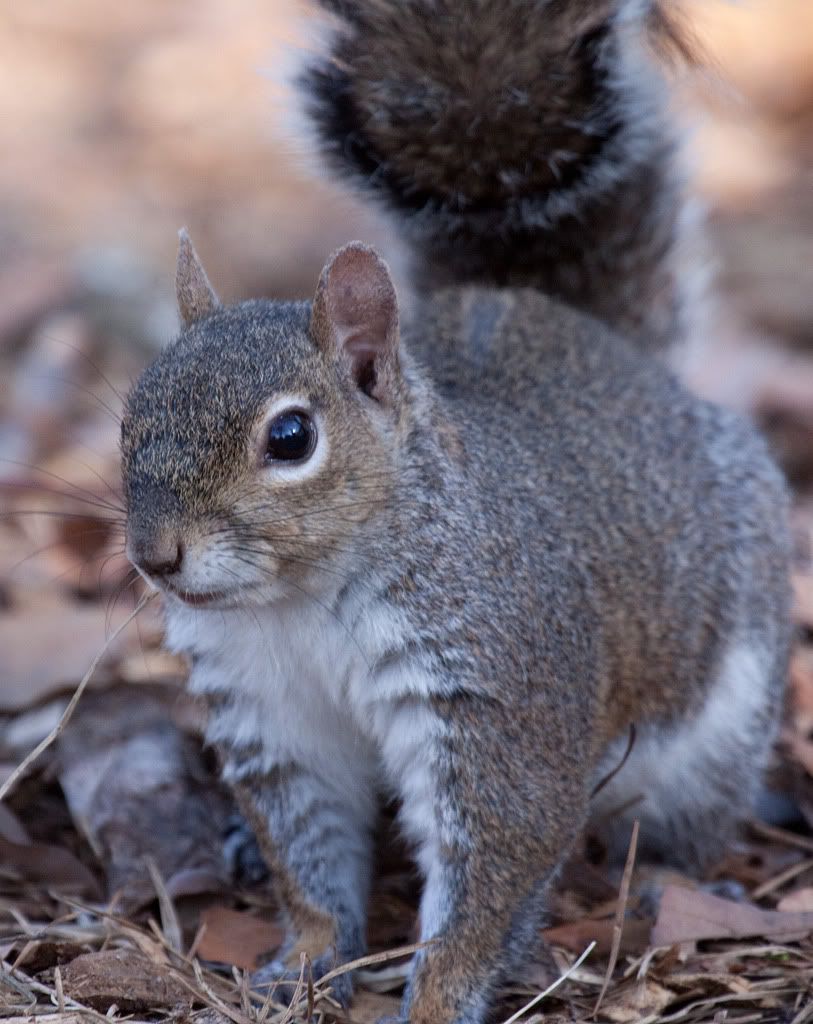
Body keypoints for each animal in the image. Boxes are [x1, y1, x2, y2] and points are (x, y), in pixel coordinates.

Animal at [120, 3, 791, 1024]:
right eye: (127, 415)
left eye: (290, 438)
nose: (156, 557)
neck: (302, 604)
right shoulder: (273, 717)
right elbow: (307, 857)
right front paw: (300, 961)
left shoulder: (496, 701)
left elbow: (490, 876)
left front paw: (436, 999)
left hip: (723, 708)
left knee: (691, 816)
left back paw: (659, 879)